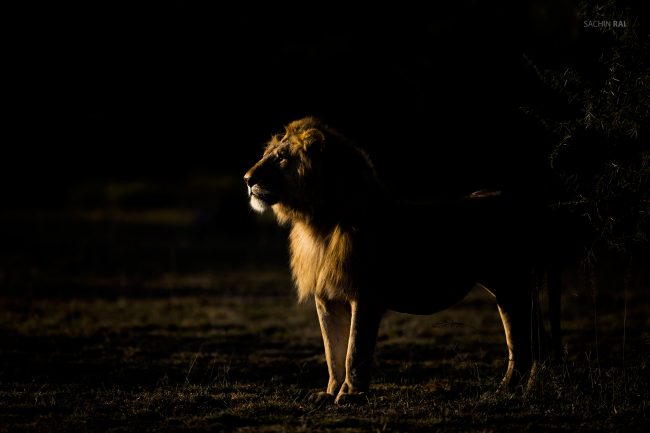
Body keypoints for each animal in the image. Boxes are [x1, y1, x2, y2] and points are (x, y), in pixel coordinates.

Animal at [244, 117, 558, 404]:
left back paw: (511, 391)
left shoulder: (366, 295)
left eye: (282, 158)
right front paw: (329, 392)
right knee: (537, 341)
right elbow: (333, 351)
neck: (318, 224)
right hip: (513, 288)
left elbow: (354, 351)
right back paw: (531, 389)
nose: (247, 180)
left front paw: (351, 395)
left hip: (510, 284)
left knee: (522, 343)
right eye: (270, 153)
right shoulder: (327, 298)